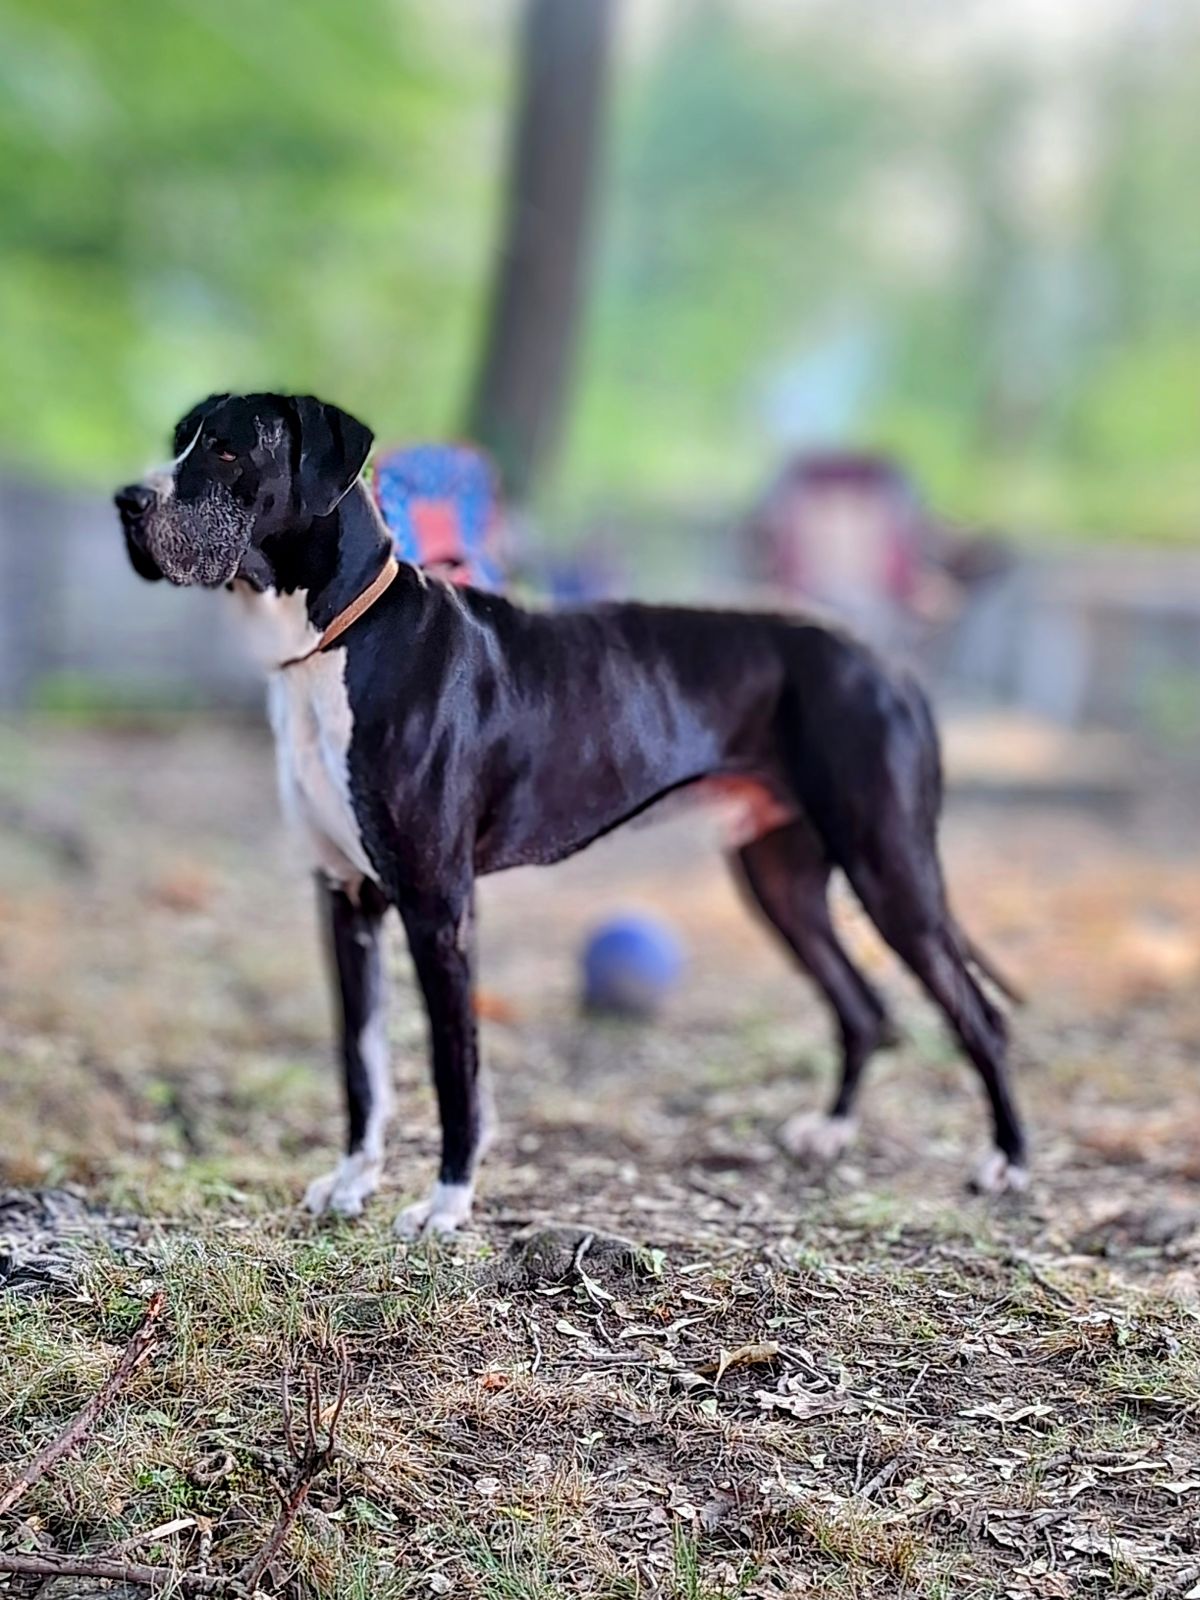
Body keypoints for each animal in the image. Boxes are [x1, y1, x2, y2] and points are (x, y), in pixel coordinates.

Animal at [115, 390, 1036, 1235]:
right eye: (180, 439)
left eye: (230, 450)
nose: (128, 499)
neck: (336, 642)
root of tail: (890, 664)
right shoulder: (347, 901)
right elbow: (362, 1062)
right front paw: (351, 1182)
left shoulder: (437, 907)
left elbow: (454, 1069)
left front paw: (446, 1203)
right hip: (783, 881)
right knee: (864, 1007)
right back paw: (833, 1131)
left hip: (891, 871)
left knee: (979, 1015)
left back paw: (1009, 1161)